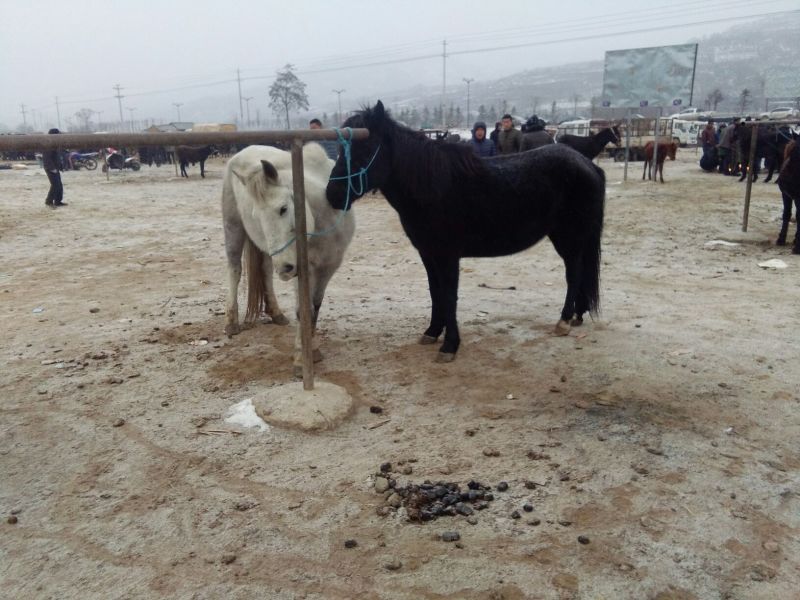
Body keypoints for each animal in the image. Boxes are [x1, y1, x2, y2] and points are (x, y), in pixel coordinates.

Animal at [222, 143, 355, 376]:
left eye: (283, 209)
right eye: (256, 216)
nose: (285, 268)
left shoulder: (328, 267)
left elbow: (315, 308)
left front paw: (313, 350)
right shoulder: (304, 269)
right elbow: (303, 310)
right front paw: (302, 358)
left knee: (266, 272)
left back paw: (275, 313)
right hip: (233, 229)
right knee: (234, 270)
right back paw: (231, 322)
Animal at [326, 100, 605, 362]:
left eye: (365, 148)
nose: (332, 195)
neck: (433, 187)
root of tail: (587, 165)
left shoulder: (448, 255)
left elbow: (449, 296)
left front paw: (450, 345)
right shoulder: (428, 254)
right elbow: (435, 293)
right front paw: (432, 332)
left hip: (569, 238)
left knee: (573, 274)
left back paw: (564, 320)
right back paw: (577, 316)